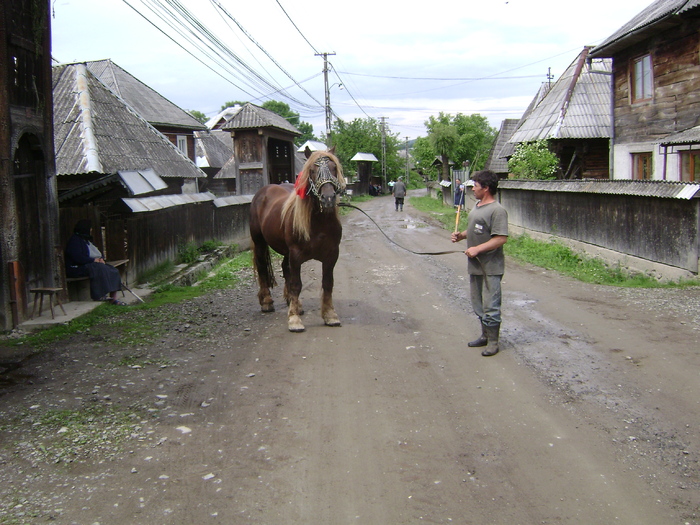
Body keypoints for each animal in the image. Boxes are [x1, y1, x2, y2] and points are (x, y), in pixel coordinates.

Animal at [250, 145, 346, 330]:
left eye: (334, 168)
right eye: (312, 170)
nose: (328, 198)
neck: (319, 222)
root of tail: (262, 193)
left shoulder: (332, 255)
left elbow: (327, 283)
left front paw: (330, 315)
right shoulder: (295, 255)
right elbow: (296, 284)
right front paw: (294, 320)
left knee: (284, 267)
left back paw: (292, 302)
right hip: (260, 243)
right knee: (263, 267)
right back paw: (267, 302)